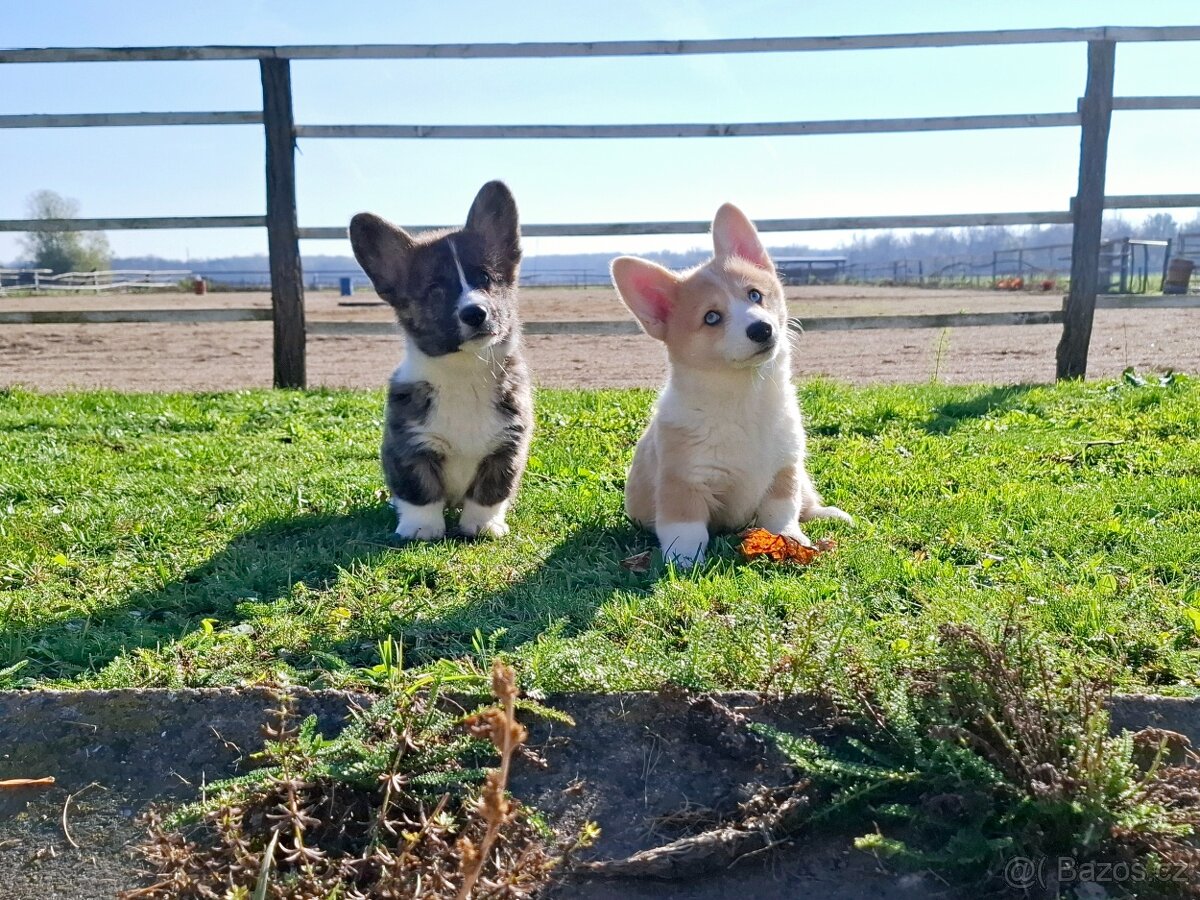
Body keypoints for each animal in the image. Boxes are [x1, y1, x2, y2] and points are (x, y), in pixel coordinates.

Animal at [350, 180, 532, 540]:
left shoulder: (508, 446)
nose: (475, 313)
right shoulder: (409, 446)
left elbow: (491, 491)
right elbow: (420, 491)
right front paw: (421, 529)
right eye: (435, 289)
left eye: (485, 278)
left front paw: (483, 525)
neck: (465, 371)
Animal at [609, 206, 854, 571]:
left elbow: (781, 514)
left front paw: (793, 541)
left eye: (755, 295)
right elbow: (687, 530)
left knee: (807, 503)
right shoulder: (684, 481)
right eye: (711, 317)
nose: (762, 329)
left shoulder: (785, 470)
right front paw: (683, 564)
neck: (745, 397)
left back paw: (833, 514)